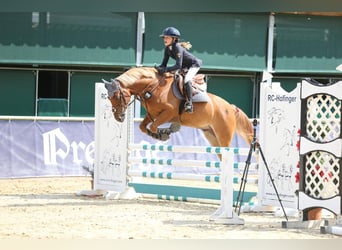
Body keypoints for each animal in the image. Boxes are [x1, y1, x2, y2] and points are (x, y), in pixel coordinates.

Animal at [103, 66, 252, 148]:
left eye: (117, 96)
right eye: (108, 97)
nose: (118, 117)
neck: (153, 87)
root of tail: (231, 108)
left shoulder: (168, 113)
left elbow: (153, 126)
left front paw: (165, 133)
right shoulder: (153, 114)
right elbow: (143, 127)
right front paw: (158, 134)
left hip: (223, 136)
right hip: (211, 135)